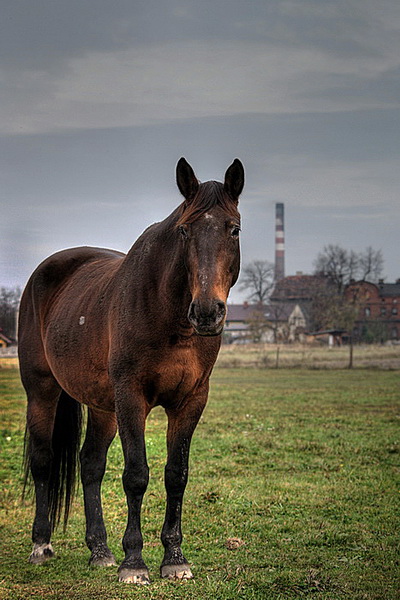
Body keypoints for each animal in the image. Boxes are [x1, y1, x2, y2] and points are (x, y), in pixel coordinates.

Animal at [18, 157, 244, 584]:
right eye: (185, 230)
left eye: (234, 229)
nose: (208, 312)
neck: (171, 317)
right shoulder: (131, 398)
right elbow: (136, 474)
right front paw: (134, 562)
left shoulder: (190, 401)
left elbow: (176, 474)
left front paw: (174, 558)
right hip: (43, 391)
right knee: (42, 460)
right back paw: (41, 545)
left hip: (103, 406)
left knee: (90, 465)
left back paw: (100, 550)